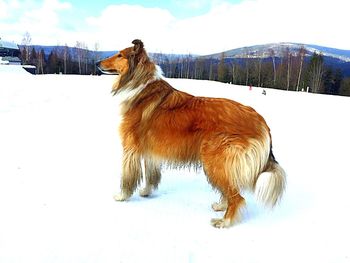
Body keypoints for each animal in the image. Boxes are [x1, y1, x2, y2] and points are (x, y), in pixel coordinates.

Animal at [97, 39, 286, 229]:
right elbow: (151, 175)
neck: (139, 84)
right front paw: (146, 192)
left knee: (237, 197)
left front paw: (122, 196)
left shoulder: (130, 148)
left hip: (215, 161)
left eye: (120, 55)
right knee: (231, 191)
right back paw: (221, 206)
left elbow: (127, 177)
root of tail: (261, 121)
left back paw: (224, 221)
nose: (97, 63)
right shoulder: (150, 151)